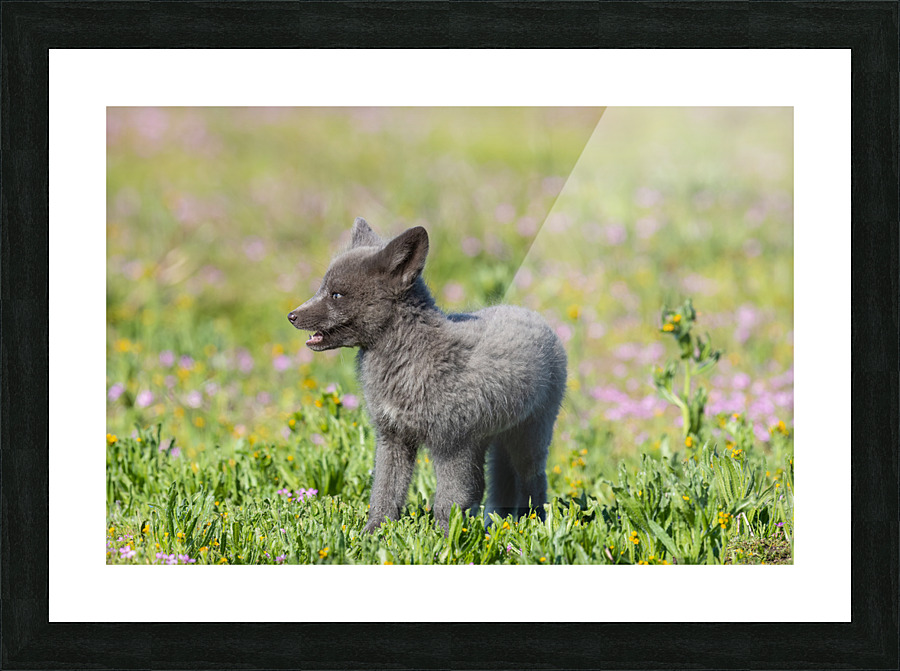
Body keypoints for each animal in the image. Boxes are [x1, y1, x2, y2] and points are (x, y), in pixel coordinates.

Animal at [288, 218, 567, 533]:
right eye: (322, 288)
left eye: (336, 294)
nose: (291, 315)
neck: (412, 359)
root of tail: (532, 315)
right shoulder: (393, 437)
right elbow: (384, 493)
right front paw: (373, 534)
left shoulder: (453, 445)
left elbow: (449, 502)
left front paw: (445, 540)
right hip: (496, 441)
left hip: (529, 439)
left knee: (535, 482)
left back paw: (535, 523)